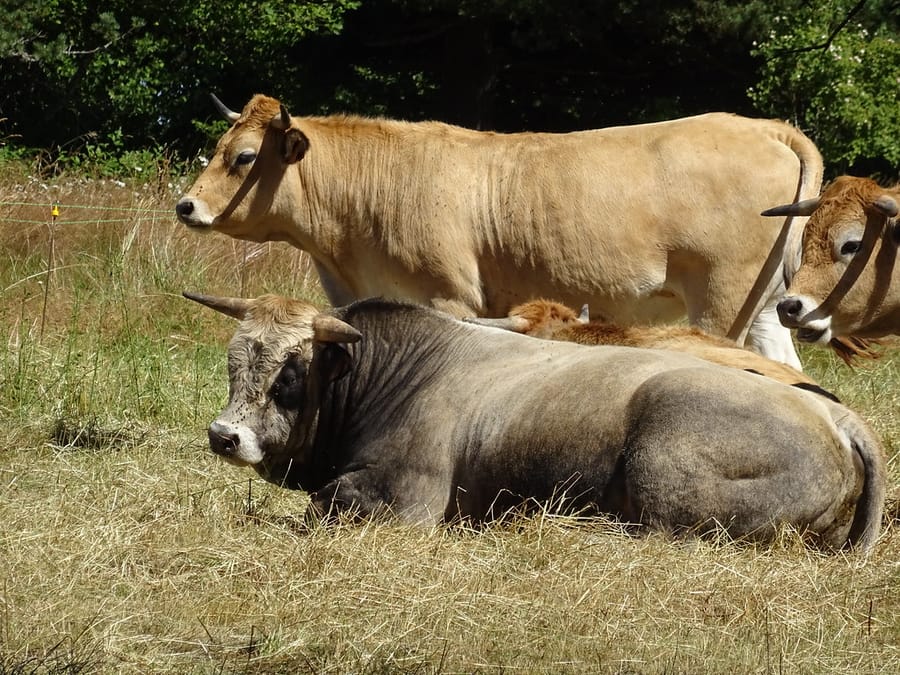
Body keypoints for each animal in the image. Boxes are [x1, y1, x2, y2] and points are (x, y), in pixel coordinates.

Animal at [175, 94, 825, 369]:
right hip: (763, 307)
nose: (186, 206)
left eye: (243, 157)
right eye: (220, 147)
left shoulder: (450, 297)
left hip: (720, 300)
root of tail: (762, 126)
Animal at [184, 290, 885, 552]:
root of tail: (837, 415)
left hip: (662, 470)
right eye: (232, 364)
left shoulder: (405, 500)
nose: (224, 436)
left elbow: (317, 508)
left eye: (288, 377)